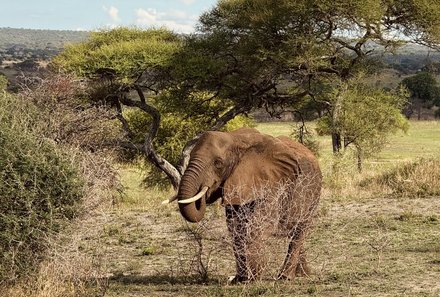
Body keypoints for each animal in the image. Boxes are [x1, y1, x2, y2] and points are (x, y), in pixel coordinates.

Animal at [167, 127, 322, 282]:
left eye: (218, 163)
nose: (206, 191)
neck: (235, 139)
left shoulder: (272, 184)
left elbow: (259, 224)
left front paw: (253, 278)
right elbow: (235, 227)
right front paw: (240, 279)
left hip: (312, 193)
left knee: (299, 231)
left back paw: (285, 277)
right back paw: (302, 274)